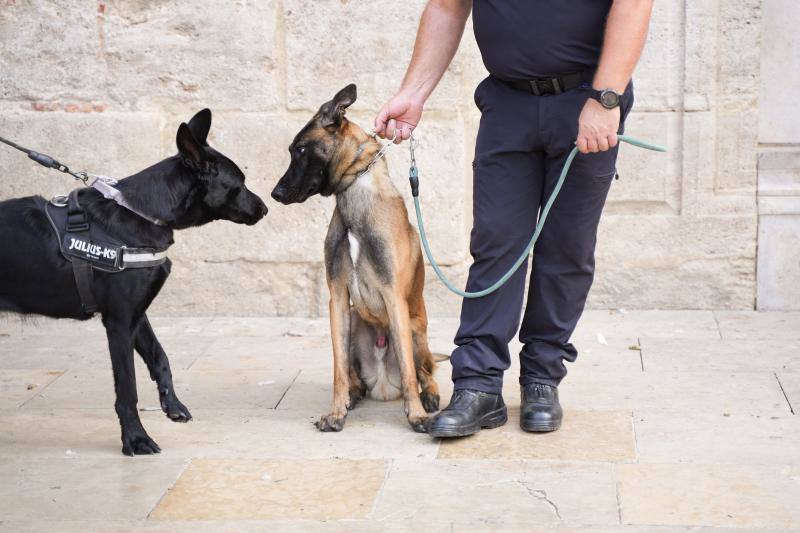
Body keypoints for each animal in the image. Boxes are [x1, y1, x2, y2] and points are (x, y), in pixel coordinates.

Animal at [0, 110, 268, 456]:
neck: (143, 213)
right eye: (240, 184)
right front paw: (136, 439)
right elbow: (127, 388)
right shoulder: (119, 321)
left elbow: (159, 357)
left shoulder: (137, 314)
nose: (265, 208)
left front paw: (172, 405)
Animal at [272, 84, 440, 432]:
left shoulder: (394, 299)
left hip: (415, 330)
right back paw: (356, 392)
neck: (353, 196)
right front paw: (336, 412)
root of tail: (383, 384)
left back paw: (428, 396)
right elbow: (337, 369)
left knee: (424, 371)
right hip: (353, 321)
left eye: (300, 150)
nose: (275, 194)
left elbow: (408, 371)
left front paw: (416, 414)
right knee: (355, 374)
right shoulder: (337, 299)